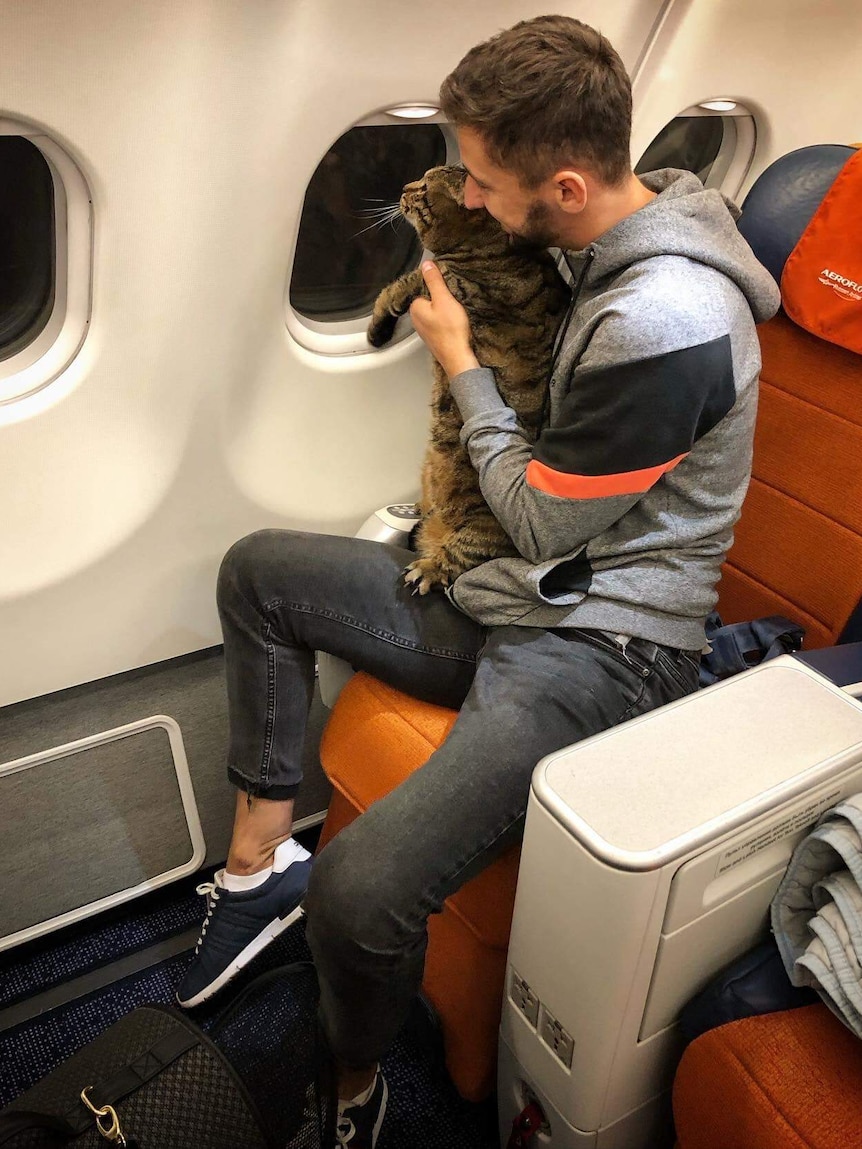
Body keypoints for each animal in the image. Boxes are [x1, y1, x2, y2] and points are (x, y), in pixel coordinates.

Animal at [367, 166, 570, 597]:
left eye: (424, 188)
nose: (404, 188)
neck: (496, 250)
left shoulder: (437, 282)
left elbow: (395, 288)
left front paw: (376, 331)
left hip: (481, 527)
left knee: (455, 562)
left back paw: (426, 569)